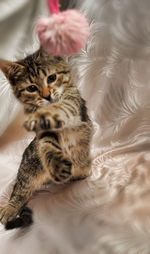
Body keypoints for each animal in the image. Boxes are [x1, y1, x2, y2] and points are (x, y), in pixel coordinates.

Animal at [0, 47, 92, 228]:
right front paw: (56, 164)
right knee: (20, 190)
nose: (47, 96)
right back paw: (10, 207)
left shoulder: (73, 103)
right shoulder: (43, 135)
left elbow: (62, 107)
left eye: (51, 78)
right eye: (31, 88)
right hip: (29, 170)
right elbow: (46, 145)